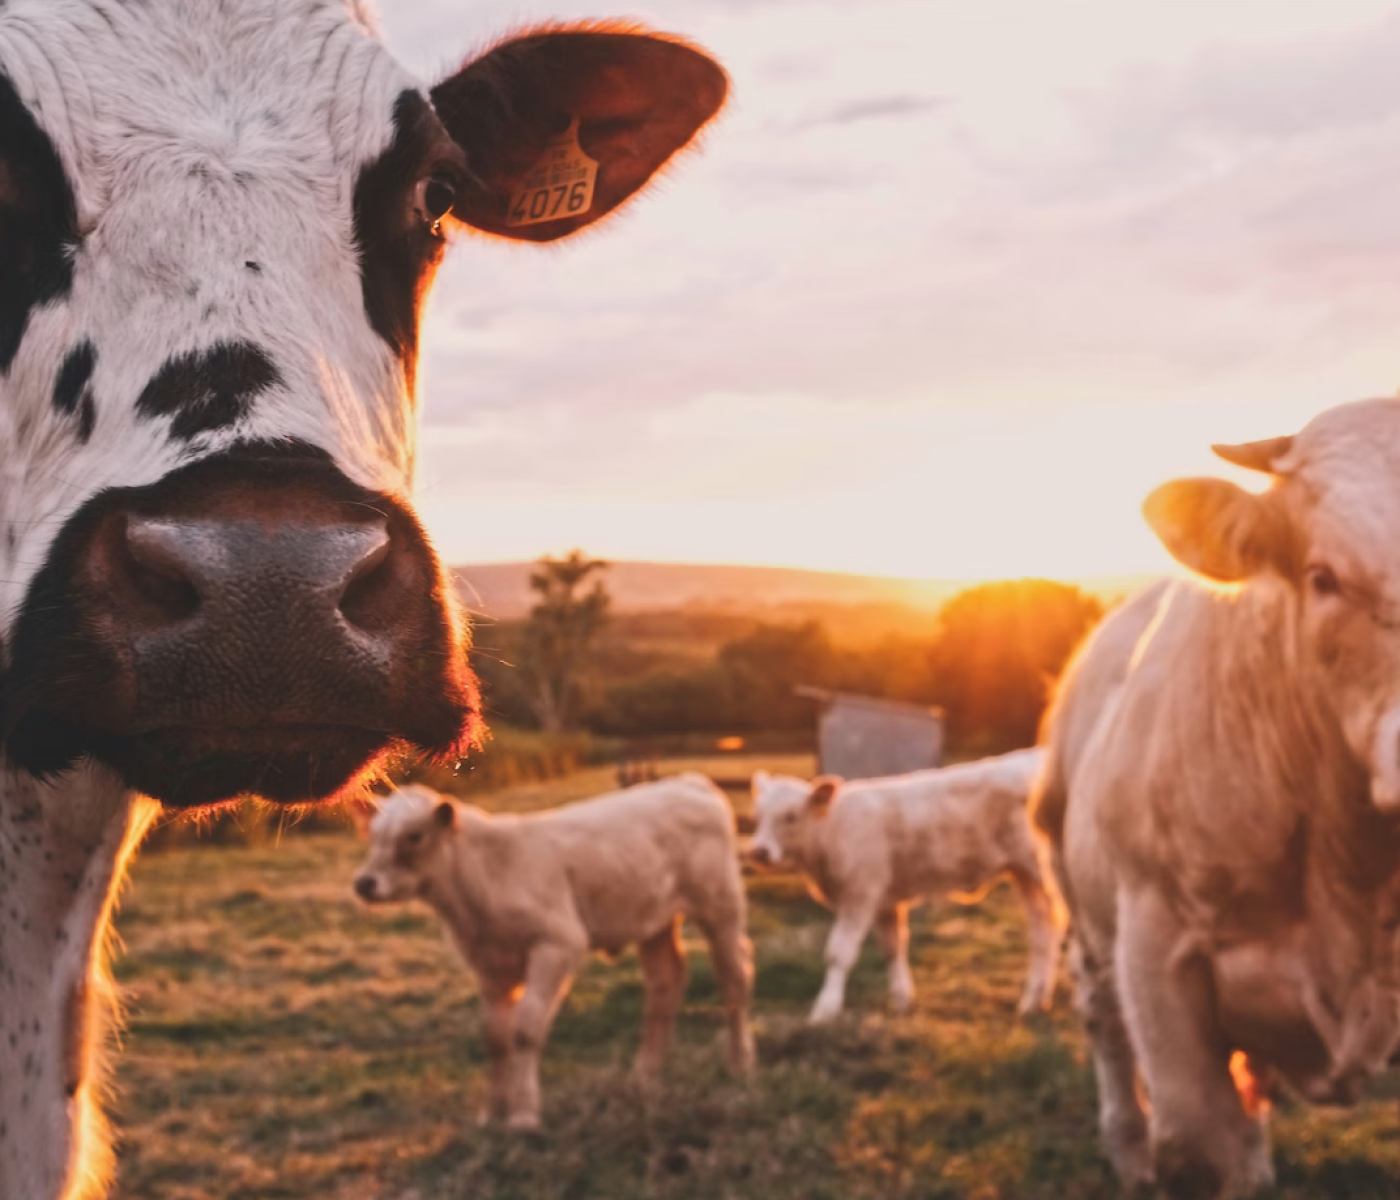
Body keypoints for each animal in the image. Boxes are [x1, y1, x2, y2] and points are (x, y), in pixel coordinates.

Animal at [352, 777, 755, 1131]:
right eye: (373, 834)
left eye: (414, 835)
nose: (364, 883)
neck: (484, 879)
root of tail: (688, 782)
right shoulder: (488, 964)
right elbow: (495, 1037)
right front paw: (492, 1113)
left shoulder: (558, 943)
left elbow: (524, 1030)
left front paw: (523, 1115)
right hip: (654, 920)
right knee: (665, 983)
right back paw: (646, 1074)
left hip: (721, 906)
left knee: (734, 977)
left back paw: (739, 1063)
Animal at [749, 750, 1060, 1024]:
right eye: (758, 815)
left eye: (791, 816)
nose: (759, 851)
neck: (833, 830)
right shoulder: (885, 901)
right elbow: (893, 947)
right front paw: (900, 1000)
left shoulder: (859, 895)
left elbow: (838, 954)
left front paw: (825, 1009)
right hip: (1024, 874)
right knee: (1043, 930)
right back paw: (1034, 1001)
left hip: (1042, 870)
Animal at [1032, 397, 1400, 1198]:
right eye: (1322, 576)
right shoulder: (1159, 947)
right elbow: (1198, 1146)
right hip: (1086, 909)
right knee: (1104, 1023)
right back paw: (1127, 1146)